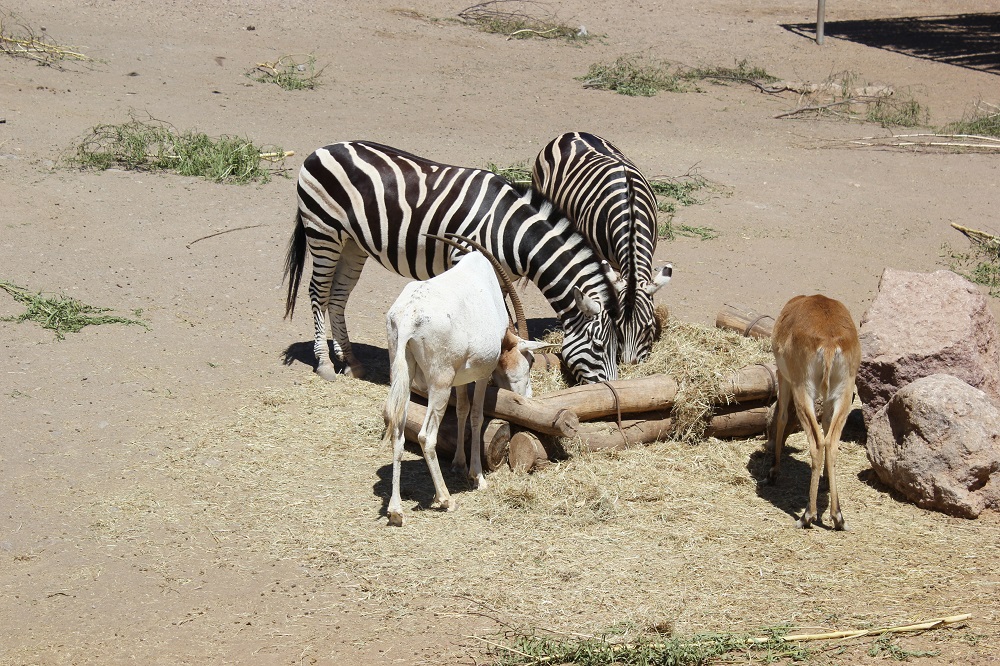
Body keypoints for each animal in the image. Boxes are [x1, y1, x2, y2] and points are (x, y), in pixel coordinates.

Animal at [286, 140, 620, 384]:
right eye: (599, 347)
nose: (613, 389)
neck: (511, 230)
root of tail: (321, 149)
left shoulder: (501, 276)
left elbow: (502, 317)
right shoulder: (465, 256)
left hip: (352, 244)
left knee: (338, 296)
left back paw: (351, 361)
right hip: (323, 231)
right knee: (318, 293)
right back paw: (325, 363)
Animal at [384, 233, 556, 524]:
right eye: (531, 361)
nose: (528, 396)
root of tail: (409, 317)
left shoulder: (461, 378)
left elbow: (462, 410)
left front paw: (458, 463)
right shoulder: (481, 375)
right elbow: (476, 416)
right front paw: (477, 476)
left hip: (402, 376)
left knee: (398, 430)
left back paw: (396, 511)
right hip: (439, 384)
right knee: (426, 436)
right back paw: (445, 499)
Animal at [768, 294, 864, 528]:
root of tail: (829, 342)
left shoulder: (783, 377)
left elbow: (782, 416)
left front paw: (774, 471)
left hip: (803, 390)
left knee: (817, 442)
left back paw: (807, 516)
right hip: (843, 395)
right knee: (831, 442)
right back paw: (838, 516)